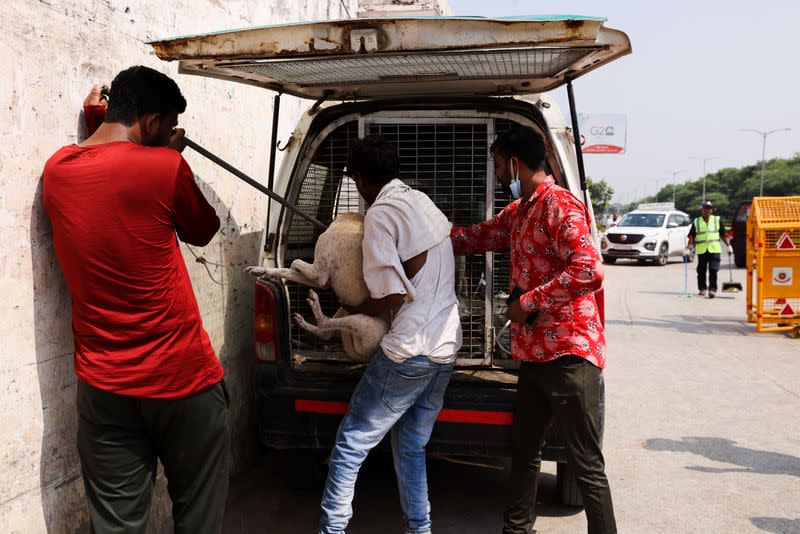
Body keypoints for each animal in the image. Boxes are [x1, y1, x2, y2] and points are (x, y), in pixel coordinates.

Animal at [247, 211, 390, 362]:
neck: (351, 220)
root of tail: (366, 358)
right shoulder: (322, 281)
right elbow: (286, 270)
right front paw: (264, 271)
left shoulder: (318, 274)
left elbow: (295, 261)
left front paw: (288, 275)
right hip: (343, 310)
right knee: (325, 333)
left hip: (366, 323)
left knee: (324, 324)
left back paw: (315, 305)